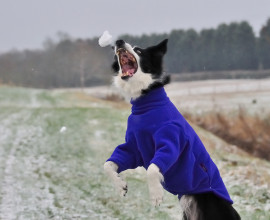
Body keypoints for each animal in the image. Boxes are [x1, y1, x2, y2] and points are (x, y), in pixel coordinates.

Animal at [104, 38, 240, 219]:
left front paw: (155, 195)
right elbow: (109, 164)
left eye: (138, 50)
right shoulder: (133, 148)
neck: (146, 104)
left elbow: (153, 168)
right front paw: (120, 186)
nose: (119, 42)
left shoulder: (171, 140)